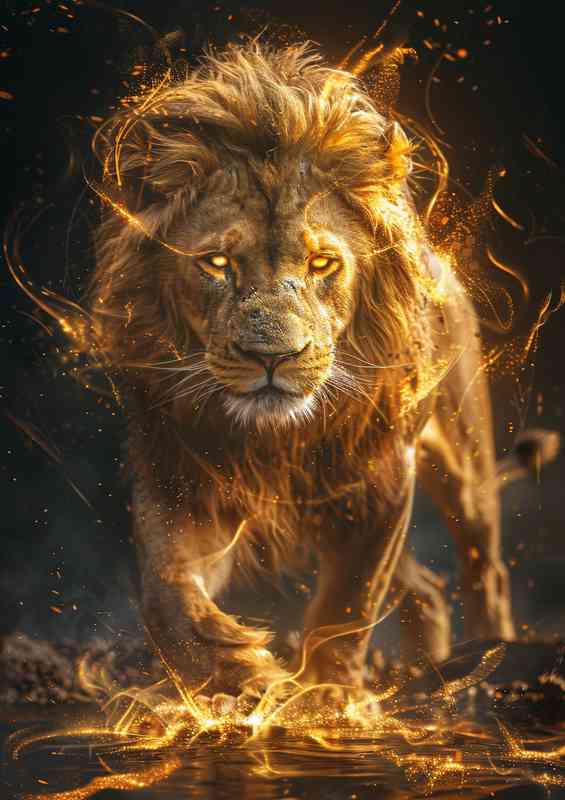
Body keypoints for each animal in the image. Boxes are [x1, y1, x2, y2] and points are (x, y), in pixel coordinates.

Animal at [87, 42, 556, 702]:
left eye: (322, 263)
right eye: (218, 262)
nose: (272, 358)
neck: (278, 437)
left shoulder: (382, 480)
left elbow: (349, 602)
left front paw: (329, 694)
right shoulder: (181, 474)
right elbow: (165, 594)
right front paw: (240, 670)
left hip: (464, 465)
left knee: (483, 567)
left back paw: (487, 660)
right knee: (429, 589)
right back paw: (433, 667)